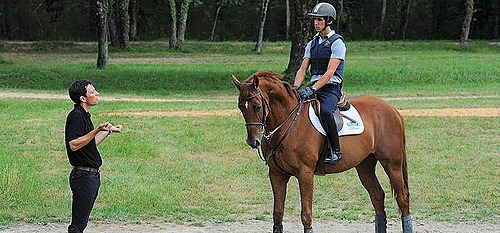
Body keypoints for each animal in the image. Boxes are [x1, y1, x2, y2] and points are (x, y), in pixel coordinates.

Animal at [232, 71, 412, 233]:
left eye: (257, 106)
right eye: (241, 108)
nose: (253, 141)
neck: (288, 122)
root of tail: (391, 109)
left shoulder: (305, 174)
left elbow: (306, 215)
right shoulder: (276, 174)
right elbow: (278, 214)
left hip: (392, 164)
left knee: (402, 198)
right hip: (365, 165)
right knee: (377, 196)